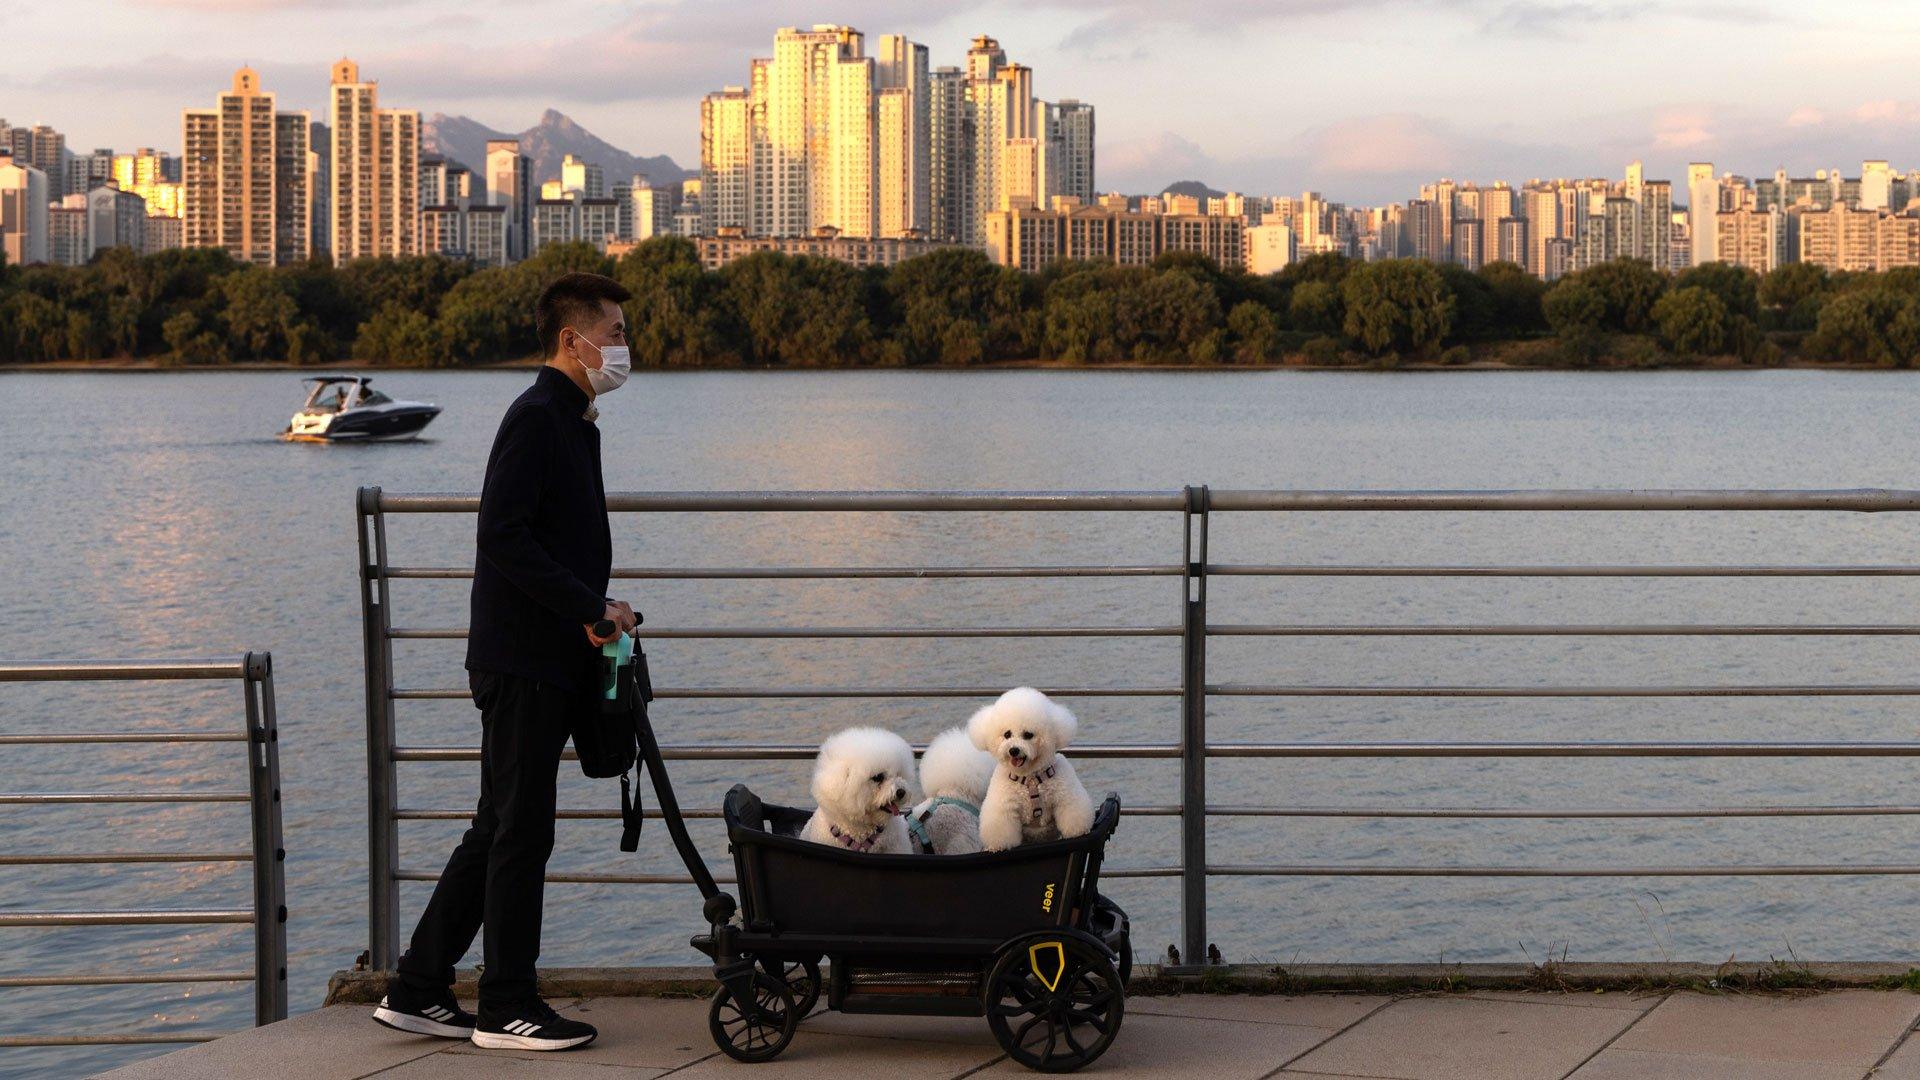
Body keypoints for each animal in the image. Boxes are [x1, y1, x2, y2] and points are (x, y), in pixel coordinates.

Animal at [967, 687, 1090, 849]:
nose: (1013, 750)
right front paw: (999, 846)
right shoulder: (1005, 808)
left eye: (1028, 735)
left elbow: (1072, 813)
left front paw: (1078, 832)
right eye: (1007, 734)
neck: (1030, 778)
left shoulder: (1065, 796)